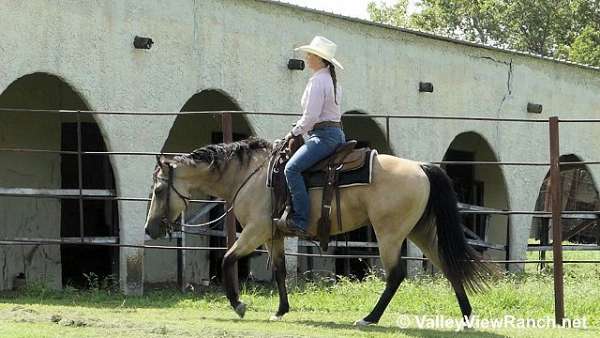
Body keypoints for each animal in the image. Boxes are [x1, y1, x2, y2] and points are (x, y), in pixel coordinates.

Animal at [143, 137, 490, 324]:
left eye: (159, 191)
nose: (150, 228)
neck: (250, 175)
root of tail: (421, 167)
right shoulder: (273, 236)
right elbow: (280, 271)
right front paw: (281, 310)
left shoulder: (255, 231)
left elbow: (228, 258)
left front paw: (238, 304)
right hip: (421, 230)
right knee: (448, 265)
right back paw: (467, 317)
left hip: (389, 234)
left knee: (396, 275)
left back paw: (370, 318)